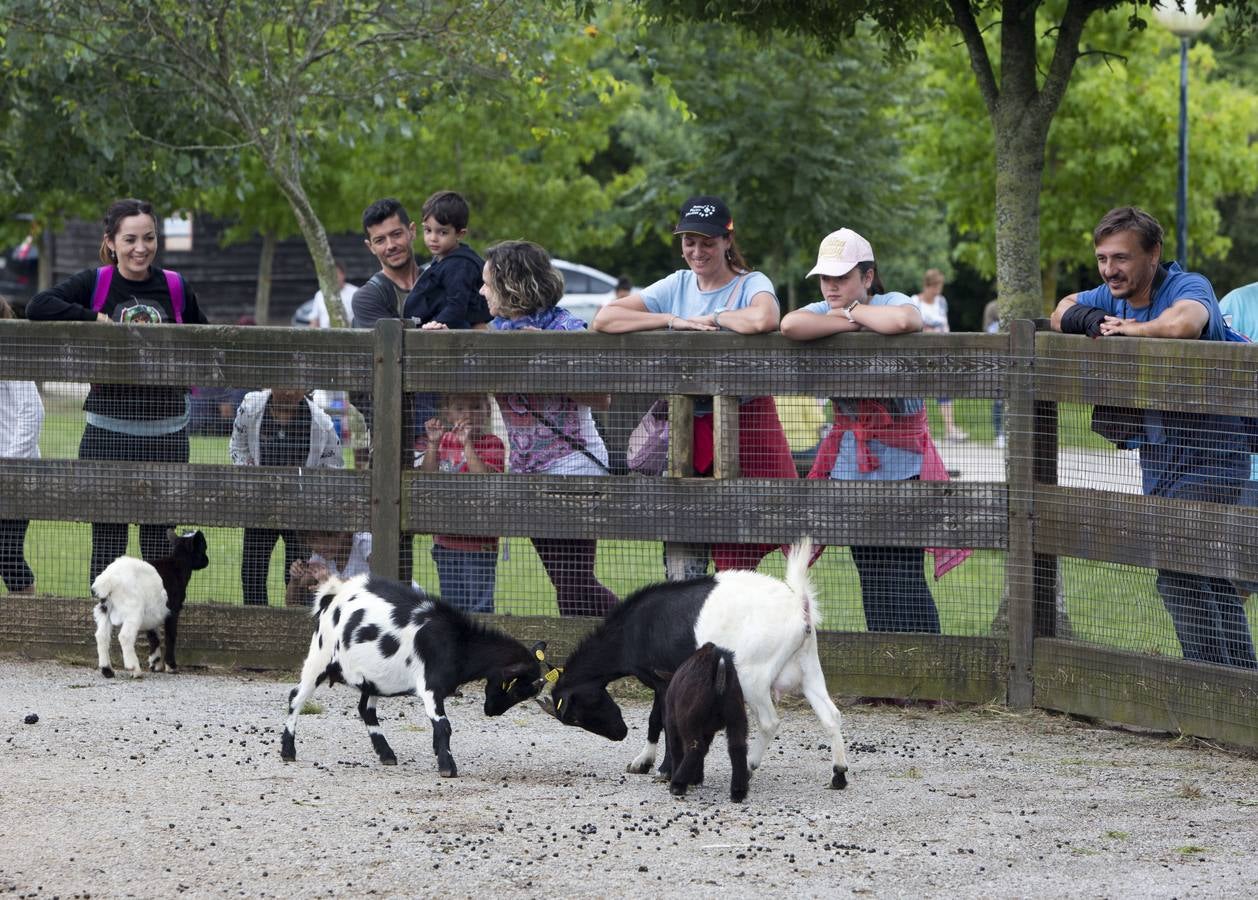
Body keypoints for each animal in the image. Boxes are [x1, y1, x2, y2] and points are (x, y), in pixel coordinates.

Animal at [91, 528, 208, 674]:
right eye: (203, 547)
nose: (207, 561)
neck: (178, 564)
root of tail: (108, 579)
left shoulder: (153, 611)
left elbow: (153, 637)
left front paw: (155, 664)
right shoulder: (173, 609)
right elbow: (170, 636)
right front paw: (171, 666)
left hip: (104, 608)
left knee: (101, 636)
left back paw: (107, 670)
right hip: (133, 610)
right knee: (125, 637)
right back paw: (134, 669)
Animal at [284, 576, 545, 780]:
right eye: (517, 688)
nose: (492, 712)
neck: (457, 642)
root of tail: (334, 595)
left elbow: (438, 727)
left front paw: (439, 754)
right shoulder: (430, 686)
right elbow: (443, 724)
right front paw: (447, 767)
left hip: (372, 677)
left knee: (365, 709)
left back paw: (387, 754)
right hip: (319, 656)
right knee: (296, 697)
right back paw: (287, 751)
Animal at [659, 641, 744, 800]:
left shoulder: (672, 722)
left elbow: (676, 749)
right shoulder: (707, 731)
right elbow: (705, 750)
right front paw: (696, 778)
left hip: (689, 720)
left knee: (694, 748)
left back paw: (677, 784)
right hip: (736, 715)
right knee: (737, 747)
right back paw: (738, 792)